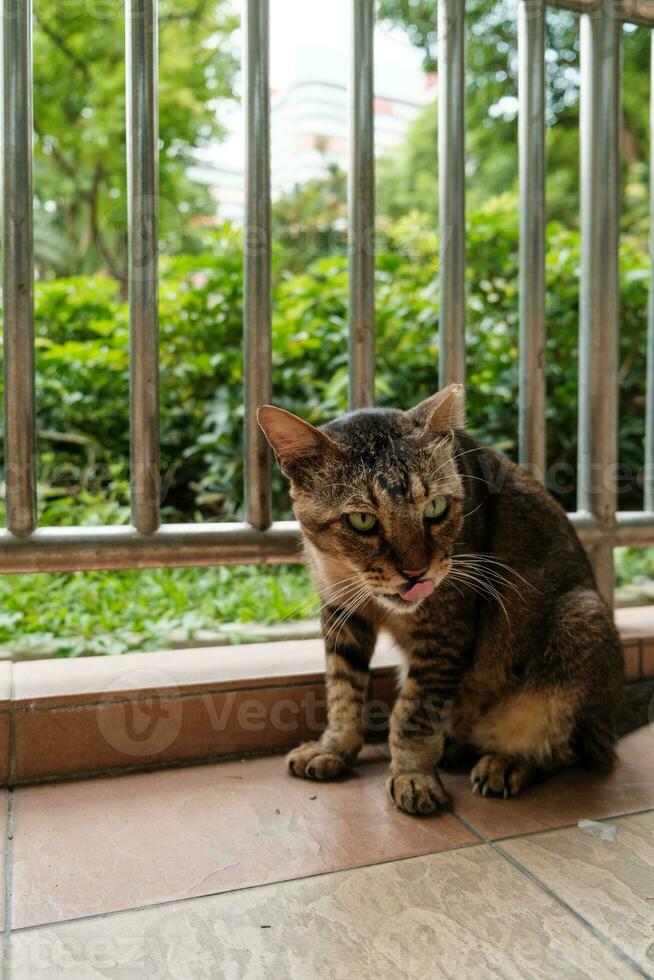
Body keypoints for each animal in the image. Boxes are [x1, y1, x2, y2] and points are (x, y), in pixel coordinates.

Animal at [258, 386, 652, 816]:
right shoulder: (341, 610)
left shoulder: (446, 628)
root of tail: (612, 713)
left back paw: (507, 762)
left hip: (582, 618)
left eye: (436, 508)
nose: (416, 572)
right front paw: (335, 747)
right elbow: (342, 688)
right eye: (362, 521)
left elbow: (413, 711)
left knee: (570, 750)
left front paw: (413, 775)